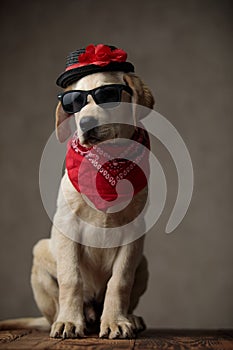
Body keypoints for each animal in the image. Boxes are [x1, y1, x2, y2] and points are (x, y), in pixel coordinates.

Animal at [0, 43, 155, 340]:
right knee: (61, 303)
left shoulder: (133, 234)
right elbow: (71, 279)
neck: (107, 163)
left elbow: (120, 281)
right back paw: (71, 318)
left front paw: (116, 321)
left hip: (143, 263)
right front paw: (70, 322)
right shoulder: (67, 226)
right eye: (75, 103)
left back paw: (127, 317)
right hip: (40, 252)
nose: (86, 123)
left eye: (108, 95)